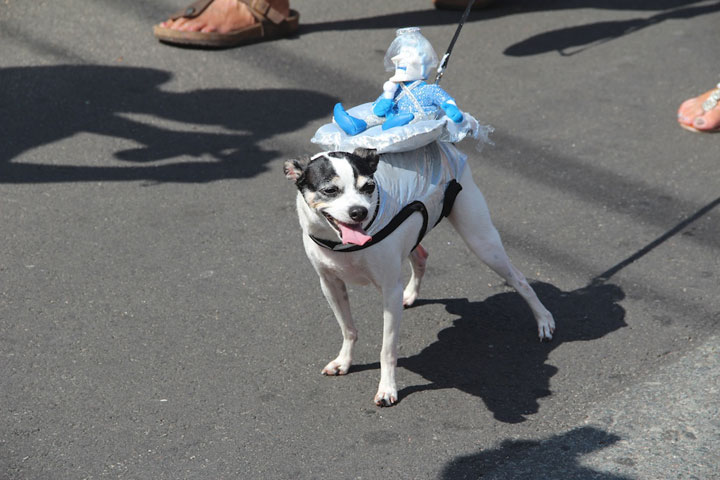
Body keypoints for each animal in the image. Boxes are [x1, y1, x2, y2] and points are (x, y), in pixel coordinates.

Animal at [284, 144, 556, 406]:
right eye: (330, 190)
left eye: (369, 187)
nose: (359, 211)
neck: (341, 244)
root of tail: (443, 144)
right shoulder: (330, 285)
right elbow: (348, 329)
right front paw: (345, 361)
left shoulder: (389, 291)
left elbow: (387, 350)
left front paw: (387, 388)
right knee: (421, 256)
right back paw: (411, 294)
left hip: (482, 242)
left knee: (519, 280)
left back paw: (544, 320)